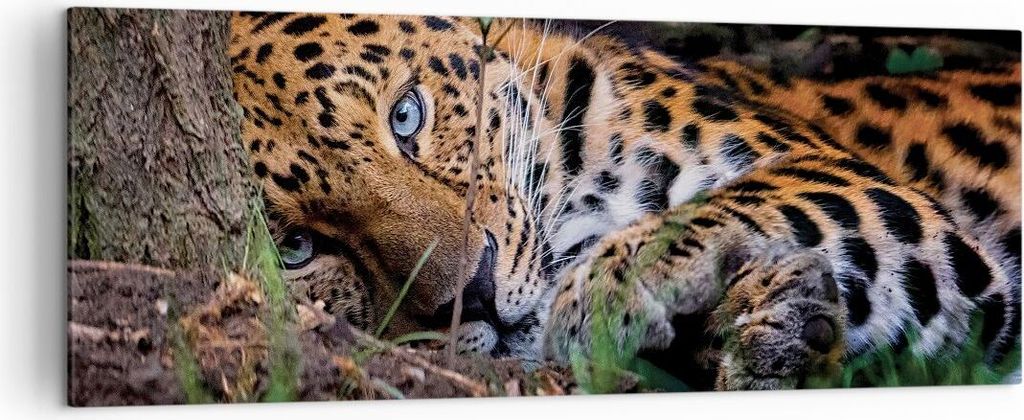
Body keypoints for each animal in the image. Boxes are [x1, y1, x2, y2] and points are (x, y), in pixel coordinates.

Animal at [228, 12, 1021, 390]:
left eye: (406, 117)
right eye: (296, 249)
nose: (475, 294)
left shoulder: (852, 180)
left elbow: (762, 193)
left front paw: (613, 286)